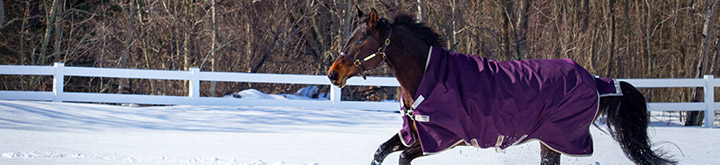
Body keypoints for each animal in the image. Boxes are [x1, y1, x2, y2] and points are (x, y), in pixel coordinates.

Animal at [326, 8, 676, 165]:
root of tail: (594, 80)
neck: (426, 78)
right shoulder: (414, 134)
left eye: (361, 40)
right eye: (351, 36)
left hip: (555, 141)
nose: (332, 74)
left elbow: (401, 158)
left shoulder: (441, 140)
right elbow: (380, 152)